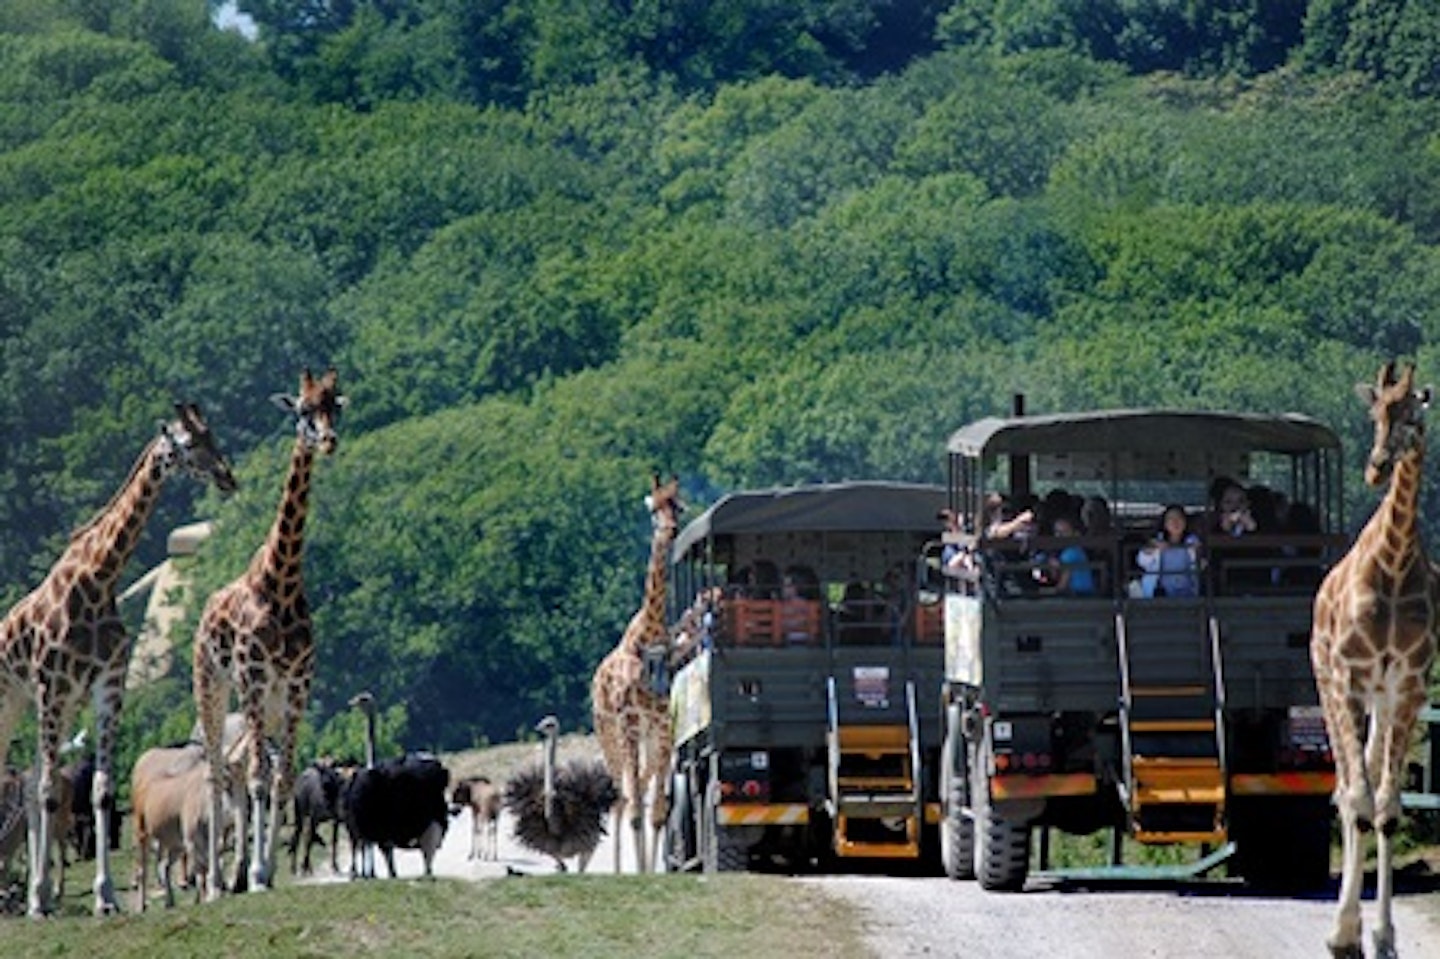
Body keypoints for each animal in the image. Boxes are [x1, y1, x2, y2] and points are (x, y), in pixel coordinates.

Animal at [0, 403, 236, 910]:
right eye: (189, 443)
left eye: (213, 436)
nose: (227, 477)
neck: (99, 578)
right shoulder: (53, 686)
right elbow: (50, 792)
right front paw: (48, 898)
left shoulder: (105, 686)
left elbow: (101, 791)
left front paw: (103, 896)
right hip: (16, 698)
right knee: (27, 781)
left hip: (45, 704)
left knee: (30, 782)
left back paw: (35, 891)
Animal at [194, 367, 345, 898]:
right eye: (302, 409)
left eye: (334, 406)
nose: (328, 440)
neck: (281, 580)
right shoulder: (254, 677)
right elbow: (261, 777)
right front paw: (258, 875)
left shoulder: (297, 684)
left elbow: (280, 777)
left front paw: (266, 870)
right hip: (215, 687)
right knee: (219, 770)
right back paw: (218, 883)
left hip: (270, 703)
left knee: (239, 764)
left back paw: (239, 871)